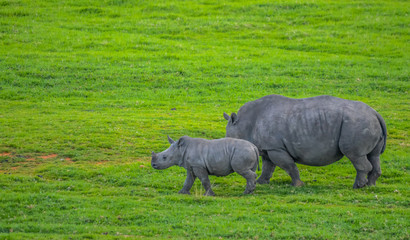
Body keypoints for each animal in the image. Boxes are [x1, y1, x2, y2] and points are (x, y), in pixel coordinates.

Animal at [224, 94, 388, 188]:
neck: (243, 123)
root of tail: (375, 113)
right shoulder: (268, 147)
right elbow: (268, 168)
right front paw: (261, 182)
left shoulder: (276, 148)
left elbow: (289, 166)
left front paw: (297, 185)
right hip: (366, 122)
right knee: (374, 156)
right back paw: (370, 186)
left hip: (357, 123)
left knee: (355, 155)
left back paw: (357, 186)